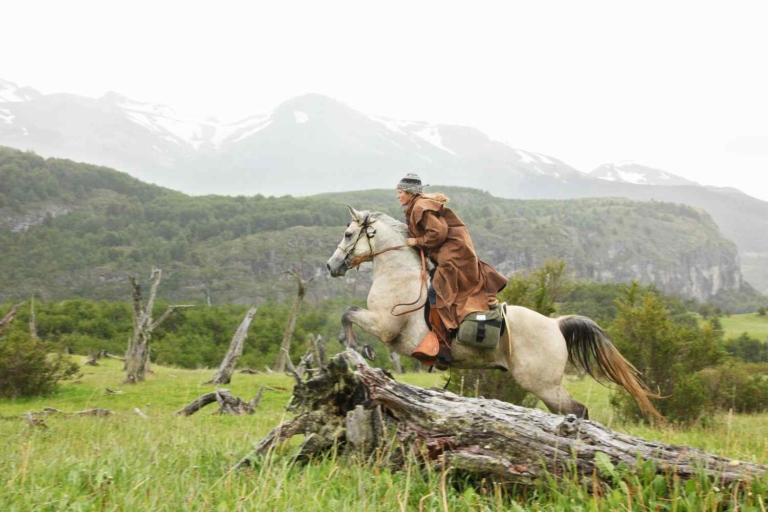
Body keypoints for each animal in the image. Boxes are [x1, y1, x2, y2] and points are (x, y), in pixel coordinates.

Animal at [326, 206, 661, 420]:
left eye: (348, 234)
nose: (331, 266)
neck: (401, 275)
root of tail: (556, 325)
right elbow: (348, 312)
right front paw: (356, 346)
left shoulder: (385, 326)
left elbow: (347, 313)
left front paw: (357, 346)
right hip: (546, 387)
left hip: (543, 385)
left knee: (577, 411)